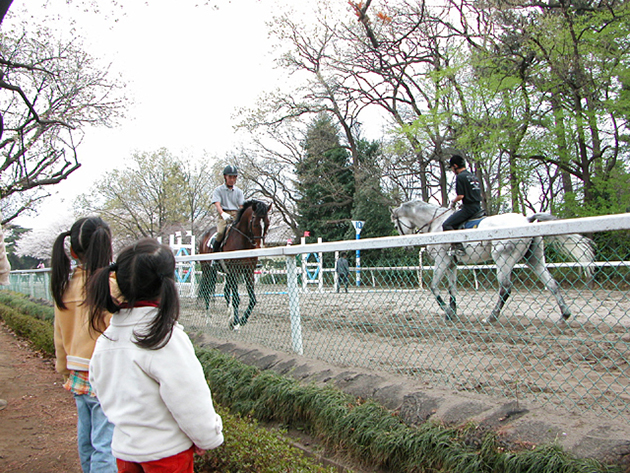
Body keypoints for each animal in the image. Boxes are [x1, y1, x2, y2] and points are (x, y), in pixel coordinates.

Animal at [199, 198, 272, 328]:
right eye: (255, 224)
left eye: (267, 224)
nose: (259, 247)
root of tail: (204, 235)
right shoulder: (234, 271)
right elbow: (236, 299)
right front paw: (238, 322)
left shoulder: (248, 272)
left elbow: (252, 299)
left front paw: (241, 320)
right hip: (207, 270)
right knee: (207, 292)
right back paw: (209, 320)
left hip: (227, 274)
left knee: (225, 292)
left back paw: (230, 319)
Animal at [392, 197, 596, 322]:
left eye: (395, 225)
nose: (406, 246)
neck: (435, 223)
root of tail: (527, 220)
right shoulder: (452, 263)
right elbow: (452, 289)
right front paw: (452, 313)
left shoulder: (442, 260)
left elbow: (434, 287)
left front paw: (448, 311)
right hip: (534, 260)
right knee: (552, 283)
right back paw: (564, 315)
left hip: (503, 260)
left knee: (505, 289)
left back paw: (491, 317)